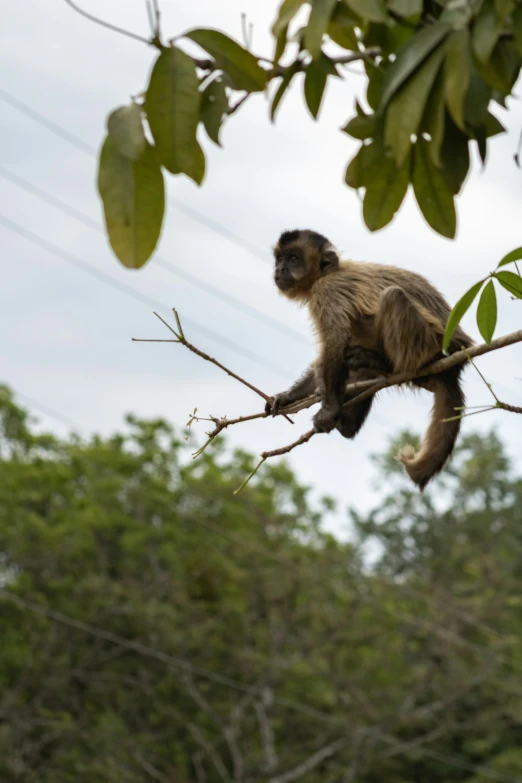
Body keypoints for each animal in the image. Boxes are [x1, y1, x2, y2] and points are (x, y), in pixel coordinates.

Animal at [264, 228, 472, 490]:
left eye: (293, 259)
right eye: (279, 259)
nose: (280, 269)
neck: (328, 274)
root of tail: (457, 359)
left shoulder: (327, 292)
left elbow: (335, 343)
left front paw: (329, 410)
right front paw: (288, 396)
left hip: (432, 345)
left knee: (393, 297)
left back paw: (386, 368)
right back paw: (349, 421)